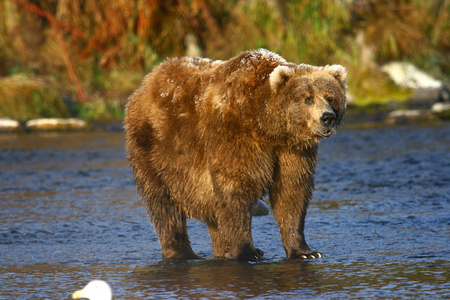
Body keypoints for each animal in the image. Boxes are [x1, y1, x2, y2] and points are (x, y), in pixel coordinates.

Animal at [125, 48, 346, 260]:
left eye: (330, 97)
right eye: (308, 99)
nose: (328, 118)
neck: (267, 126)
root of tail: (147, 81)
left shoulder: (292, 151)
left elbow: (291, 191)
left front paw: (305, 251)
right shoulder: (234, 133)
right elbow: (235, 187)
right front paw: (247, 251)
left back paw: (222, 249)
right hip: (155, 149)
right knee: (164, 203)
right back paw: (182, 252)